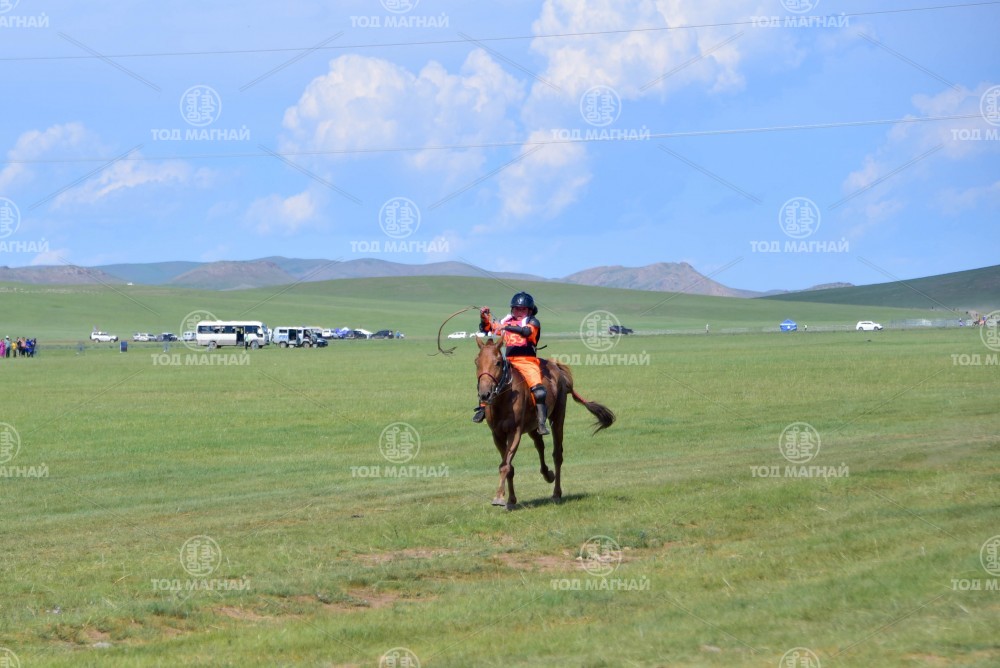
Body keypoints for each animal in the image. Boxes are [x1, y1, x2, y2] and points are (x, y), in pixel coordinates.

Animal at [475, 336, 615, 509]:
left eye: (498, 362)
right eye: (477, 362)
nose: (484, 394)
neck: (503, 399)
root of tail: (555, 365)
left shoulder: (515, 432)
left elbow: (505, 466)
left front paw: (499, 497)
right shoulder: (497, 434)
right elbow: (508, 466)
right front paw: (511, 500)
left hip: (558, 417)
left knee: (557, 454)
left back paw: (556, 493)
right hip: (533, 426)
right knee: (540, 445)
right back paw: (547, 474)